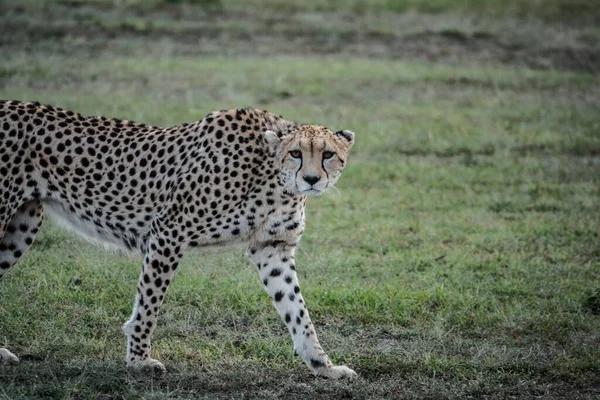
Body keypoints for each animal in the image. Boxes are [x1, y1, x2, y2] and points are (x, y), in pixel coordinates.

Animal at [0, 99, 356, 378]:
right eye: (295, 152)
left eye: (328, 154)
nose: (311, 179)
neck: (273, 176)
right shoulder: (168, 231)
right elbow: (149, 304)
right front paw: (138, 360)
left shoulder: (272, 249)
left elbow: (296, 309)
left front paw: (322, 365)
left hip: (23, 224)